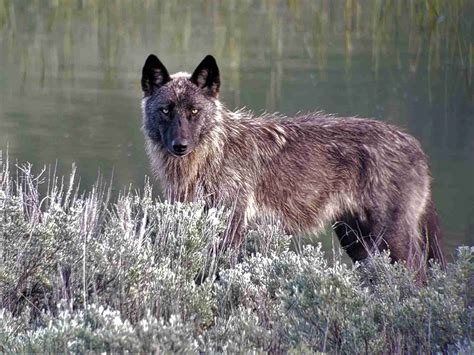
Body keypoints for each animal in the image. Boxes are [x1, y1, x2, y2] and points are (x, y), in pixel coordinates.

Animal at [140, 53, 444, 270]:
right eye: (166, 110)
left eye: (194, 111)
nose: (180, 146)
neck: (214, 155)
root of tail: (415, 144)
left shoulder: (231, 229)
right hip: (355, 240)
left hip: (390, 240)